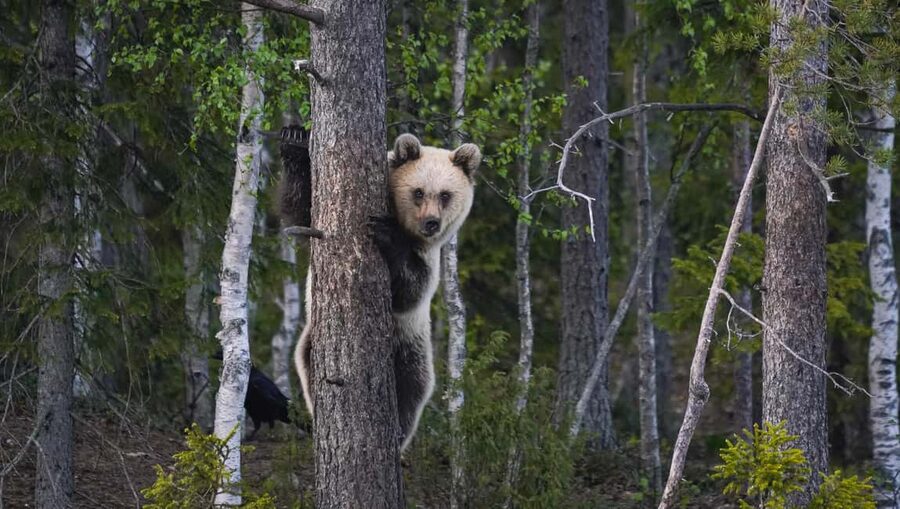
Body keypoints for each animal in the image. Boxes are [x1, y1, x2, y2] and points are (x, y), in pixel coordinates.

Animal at [279, 130, 480, 451]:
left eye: (445, 194)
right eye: (419, 192)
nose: (431, 223)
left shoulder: (425, 259)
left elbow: (409, 291)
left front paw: (385, 234)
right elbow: (302, 210)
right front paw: (294, 140)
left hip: (410, 342)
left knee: (413, 385)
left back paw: (398, 431)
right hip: (315, 337)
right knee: (310, 363)